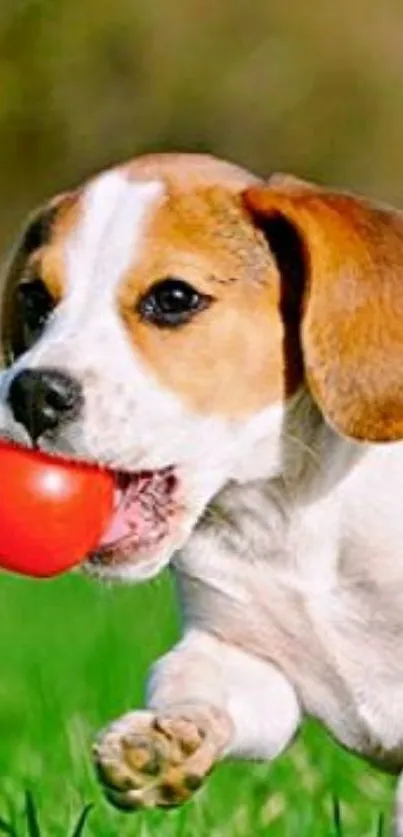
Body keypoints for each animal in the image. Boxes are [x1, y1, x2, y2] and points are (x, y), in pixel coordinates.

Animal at [0, 155, 403, 828]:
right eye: (35, 298)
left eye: (173, 299)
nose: (29, 393)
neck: (285, 511)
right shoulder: (244, 659)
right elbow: (196, 683)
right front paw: (162, 743)